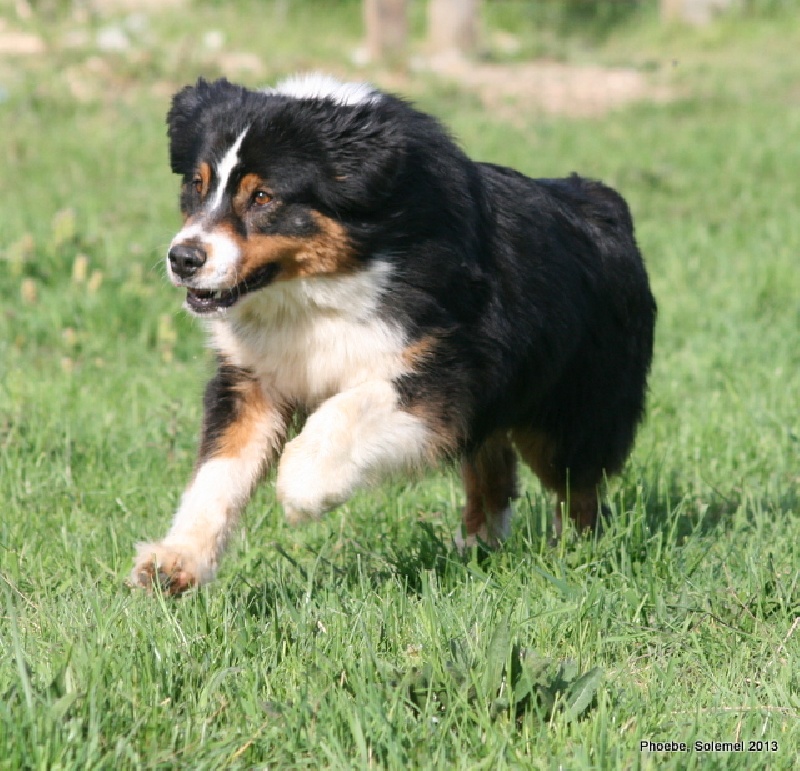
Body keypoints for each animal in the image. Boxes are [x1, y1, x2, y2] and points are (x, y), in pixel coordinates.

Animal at [130, 73, 656, 594]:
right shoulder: (252, 375)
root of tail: (601, 199)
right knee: (494, 470)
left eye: (264, 197)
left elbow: (347, 410)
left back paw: (576, 554)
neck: (315, 289)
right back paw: (478, 551)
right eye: (196, 185)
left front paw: (302, 490)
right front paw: (175, 561)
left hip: (573, 405)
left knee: (577, 484)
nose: (183, 258)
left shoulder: (445, 366)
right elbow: (219, 472)